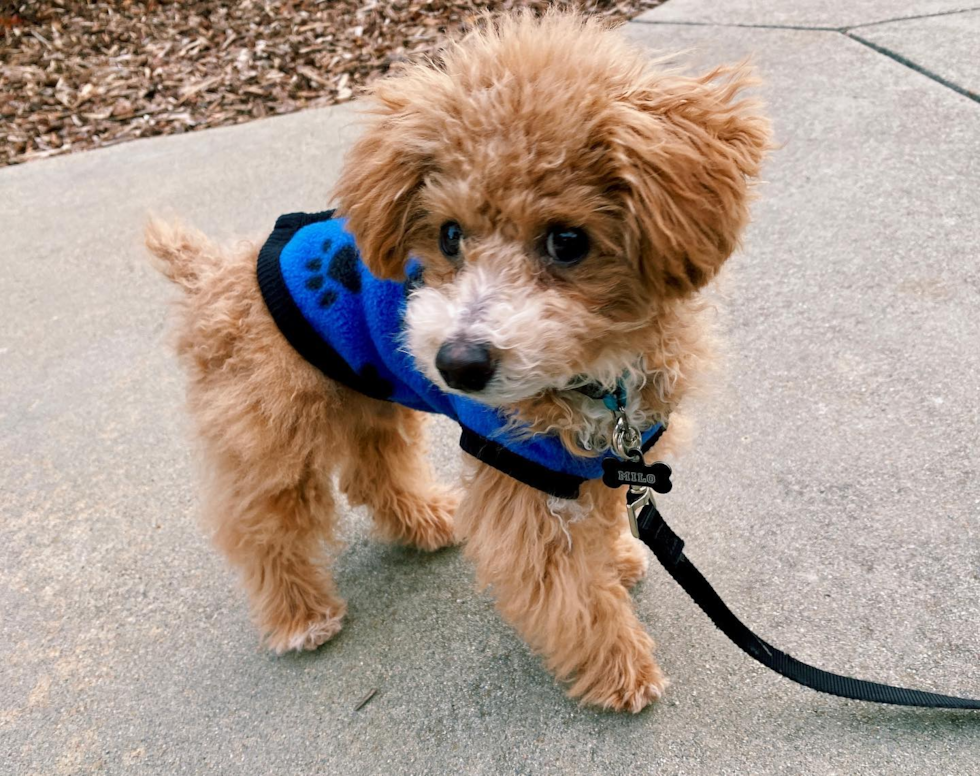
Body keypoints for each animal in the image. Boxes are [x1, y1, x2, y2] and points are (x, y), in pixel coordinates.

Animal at [147, 12, 772, 712]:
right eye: (449, 234)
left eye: (567, 241)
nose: (457, 366)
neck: (594, 379)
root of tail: (212, 272)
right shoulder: (524, 476)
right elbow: (571, 592)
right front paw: (620, 668)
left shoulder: (609, 458)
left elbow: (604, 519)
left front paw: (617, 559)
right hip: (274, 431)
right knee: (266, 524)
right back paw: (300, 616)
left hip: (366, 394)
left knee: (372, 470)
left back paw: (425, 521)